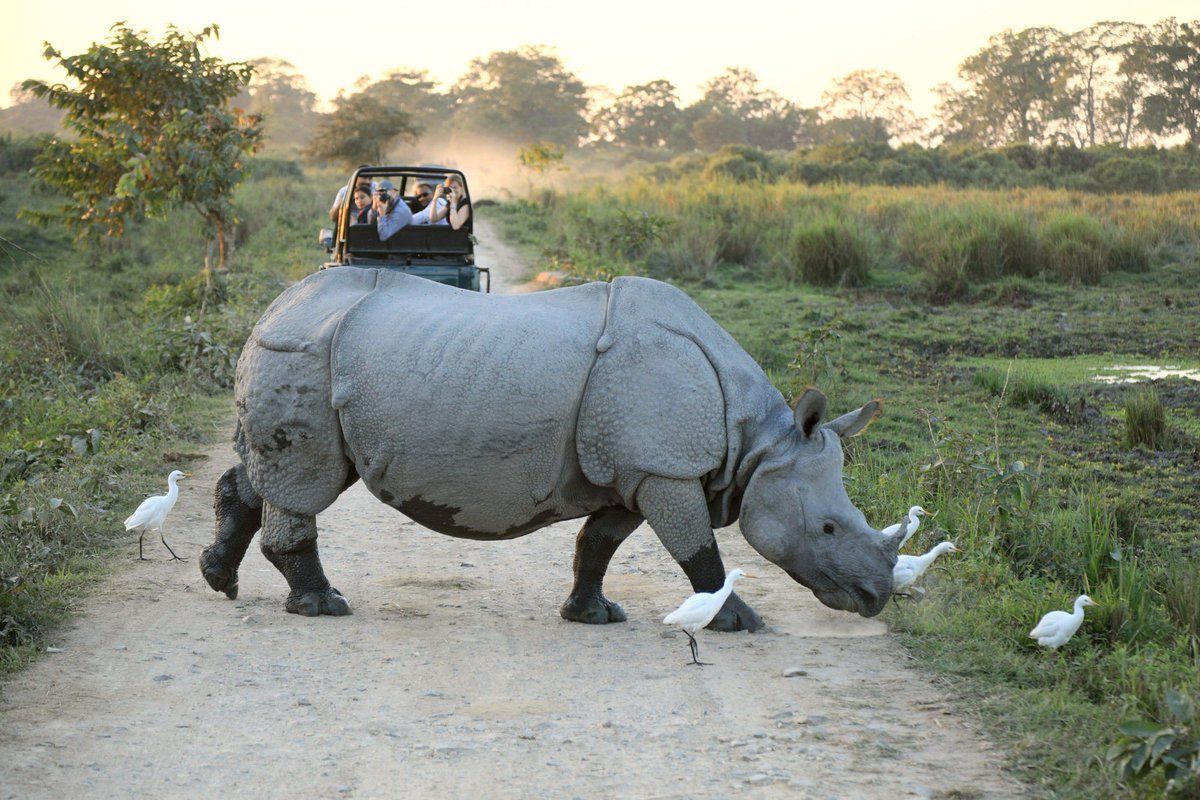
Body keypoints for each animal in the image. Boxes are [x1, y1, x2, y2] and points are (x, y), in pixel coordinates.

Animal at [201, 269, 907, 630]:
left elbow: (598, 543)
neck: (756, 444)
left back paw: (220, 581)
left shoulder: (634, 471)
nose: (875, 599)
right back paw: (324, 607)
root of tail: (272, 307)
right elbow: (699, 551)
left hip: (306, 350)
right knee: (306, 479)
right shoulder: (665, 467)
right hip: (303, 351)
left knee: (269, 473)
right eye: (829, 527)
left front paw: (594, 615)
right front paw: (737, 622)